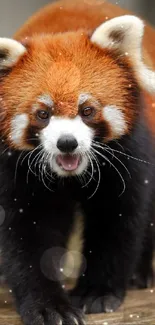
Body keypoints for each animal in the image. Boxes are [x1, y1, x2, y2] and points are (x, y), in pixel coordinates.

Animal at [0, 0, 155, 322]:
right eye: (43, 114)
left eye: (87, 110)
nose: (67, 142)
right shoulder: (14, 167)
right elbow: (26, 230)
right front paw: (48, 306)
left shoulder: (131, 150)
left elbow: (119, 219)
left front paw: (97, 293)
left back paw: (141, 273)